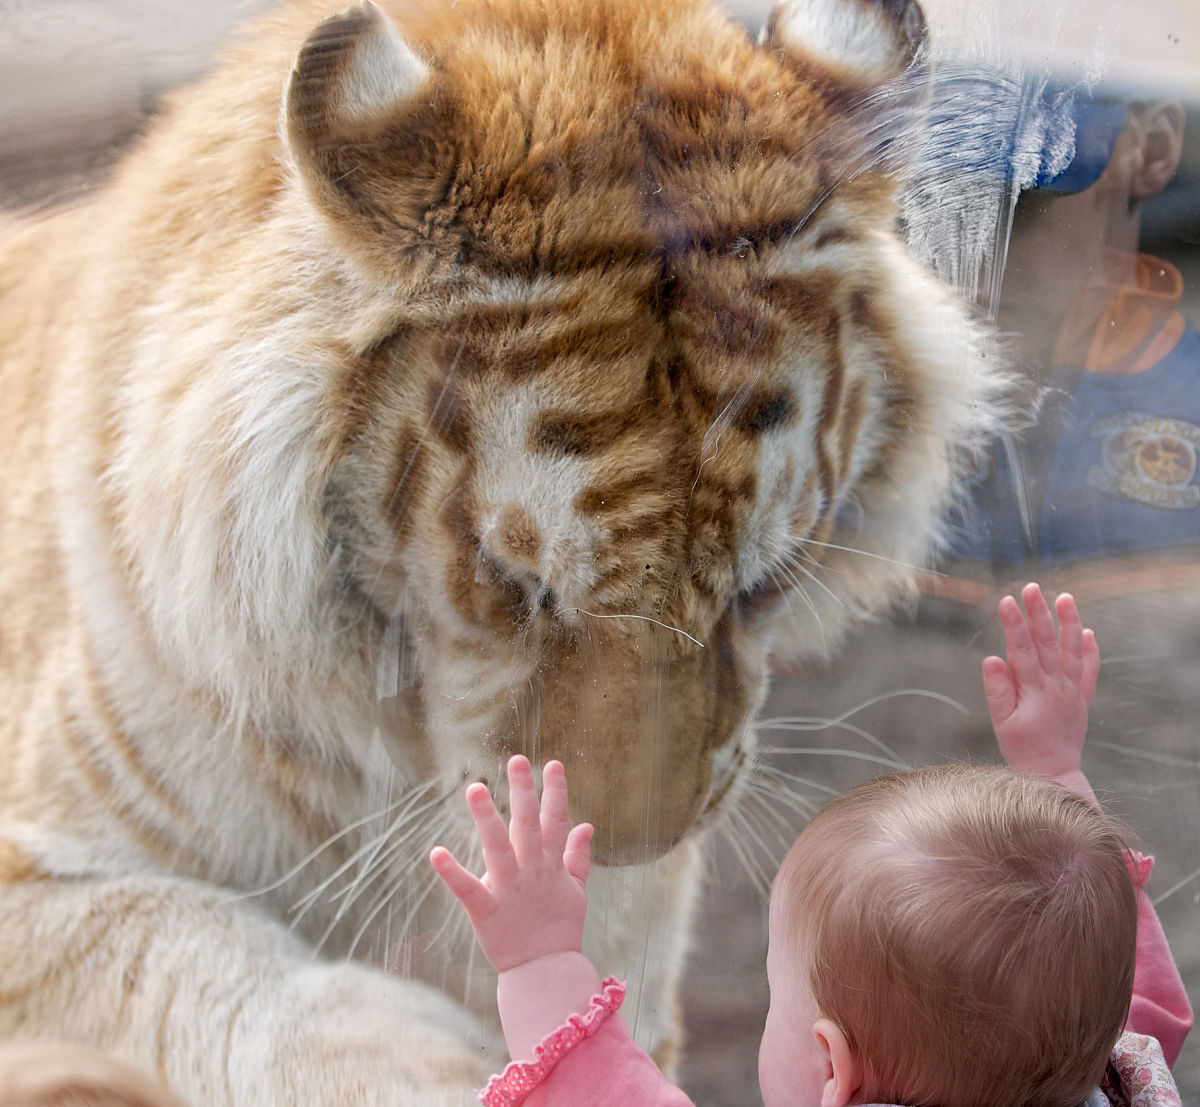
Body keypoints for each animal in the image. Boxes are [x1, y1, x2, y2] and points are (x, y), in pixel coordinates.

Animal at [0, 0, 1004, 1102]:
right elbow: (183, 954)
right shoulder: (40, 866)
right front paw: (420, 1056)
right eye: (513, 584)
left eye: (764, 584)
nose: (625, 847)